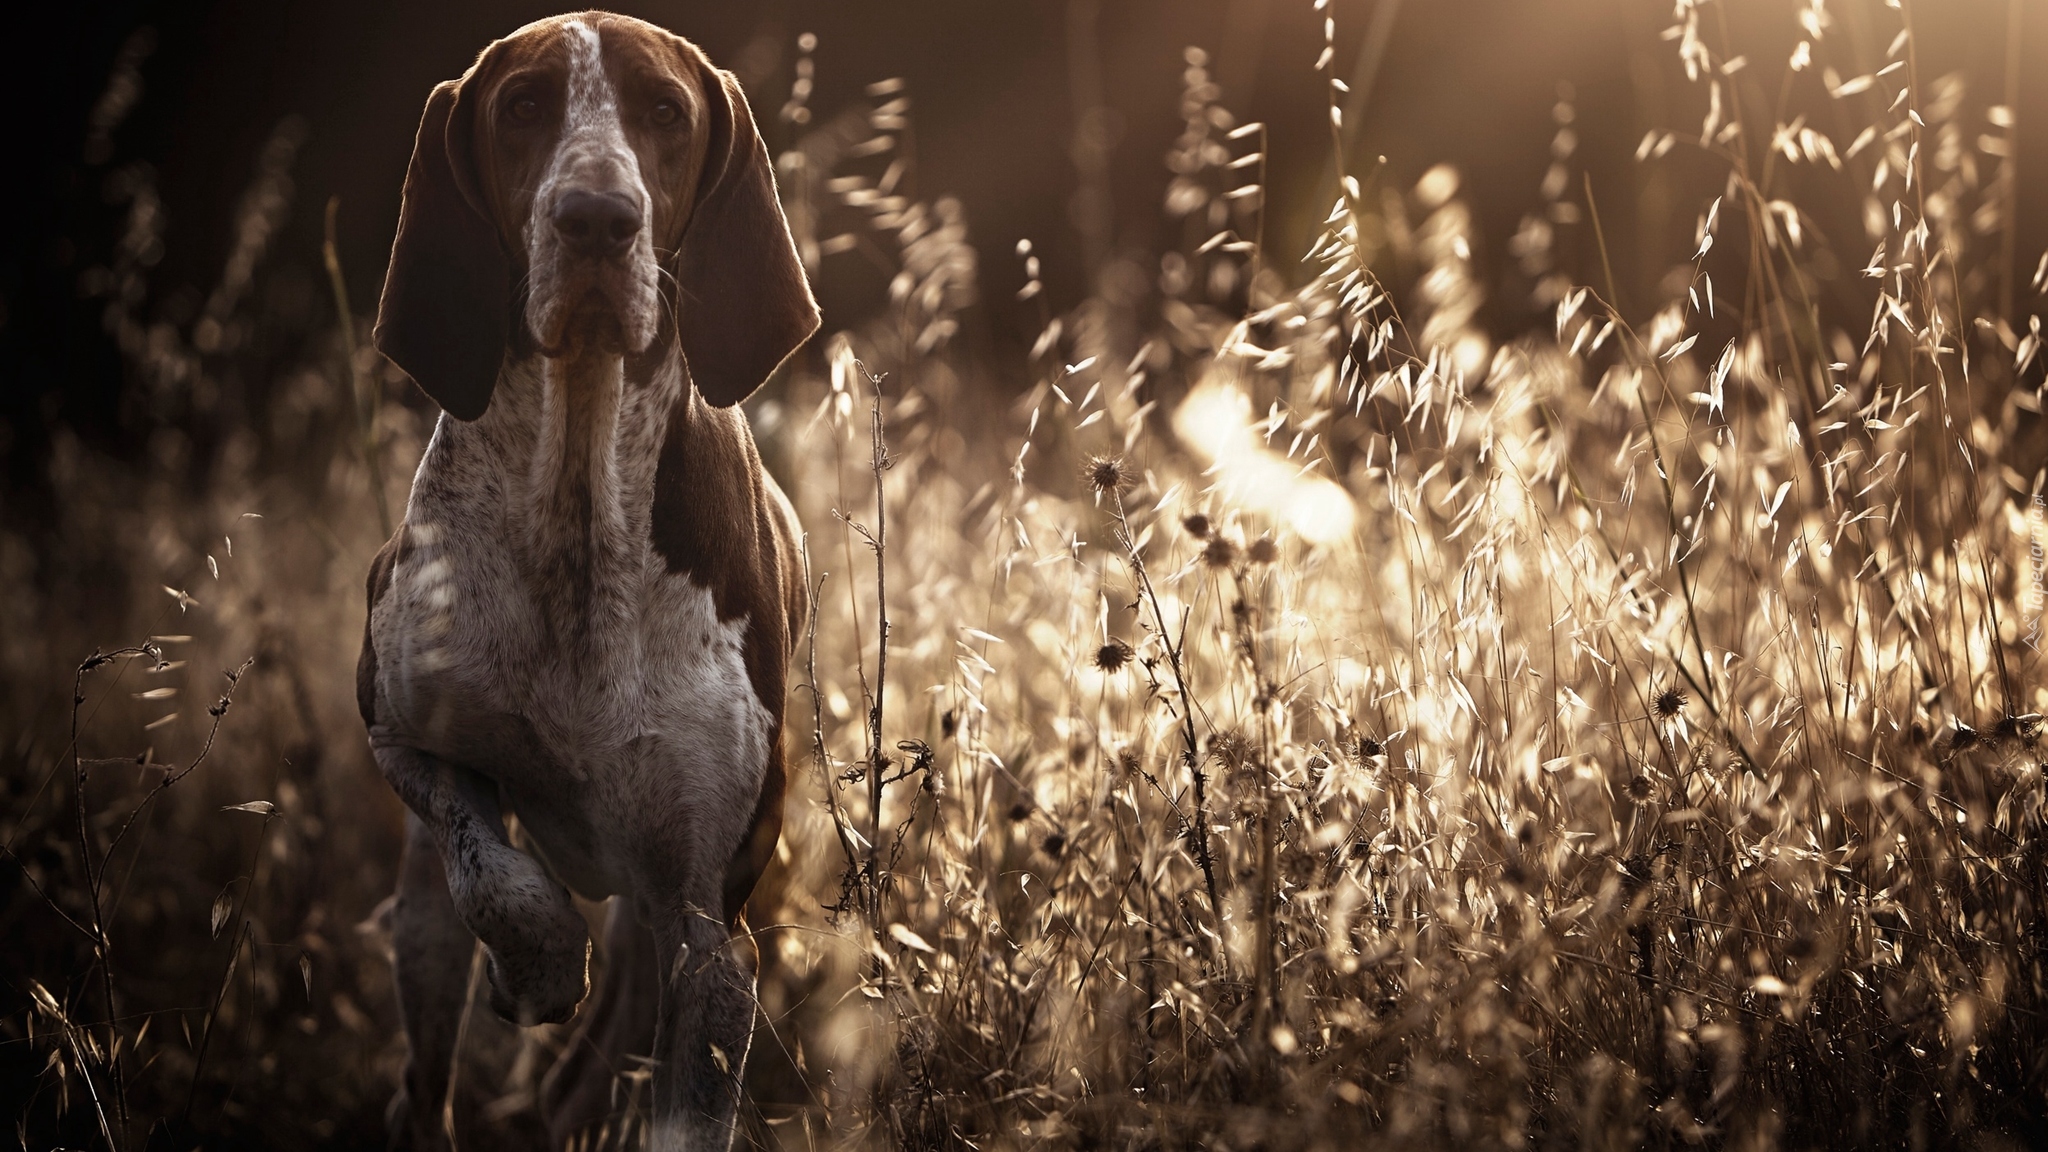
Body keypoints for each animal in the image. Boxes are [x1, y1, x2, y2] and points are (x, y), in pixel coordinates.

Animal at [360, 11, 815, 1147]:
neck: (577, 509)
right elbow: (495, 868)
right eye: (523, 106)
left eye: (665, 111)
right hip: (422, 934)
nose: (597, 219)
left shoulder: (708, 931)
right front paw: (535, 965)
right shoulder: (395, 726)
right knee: (427, 1073)